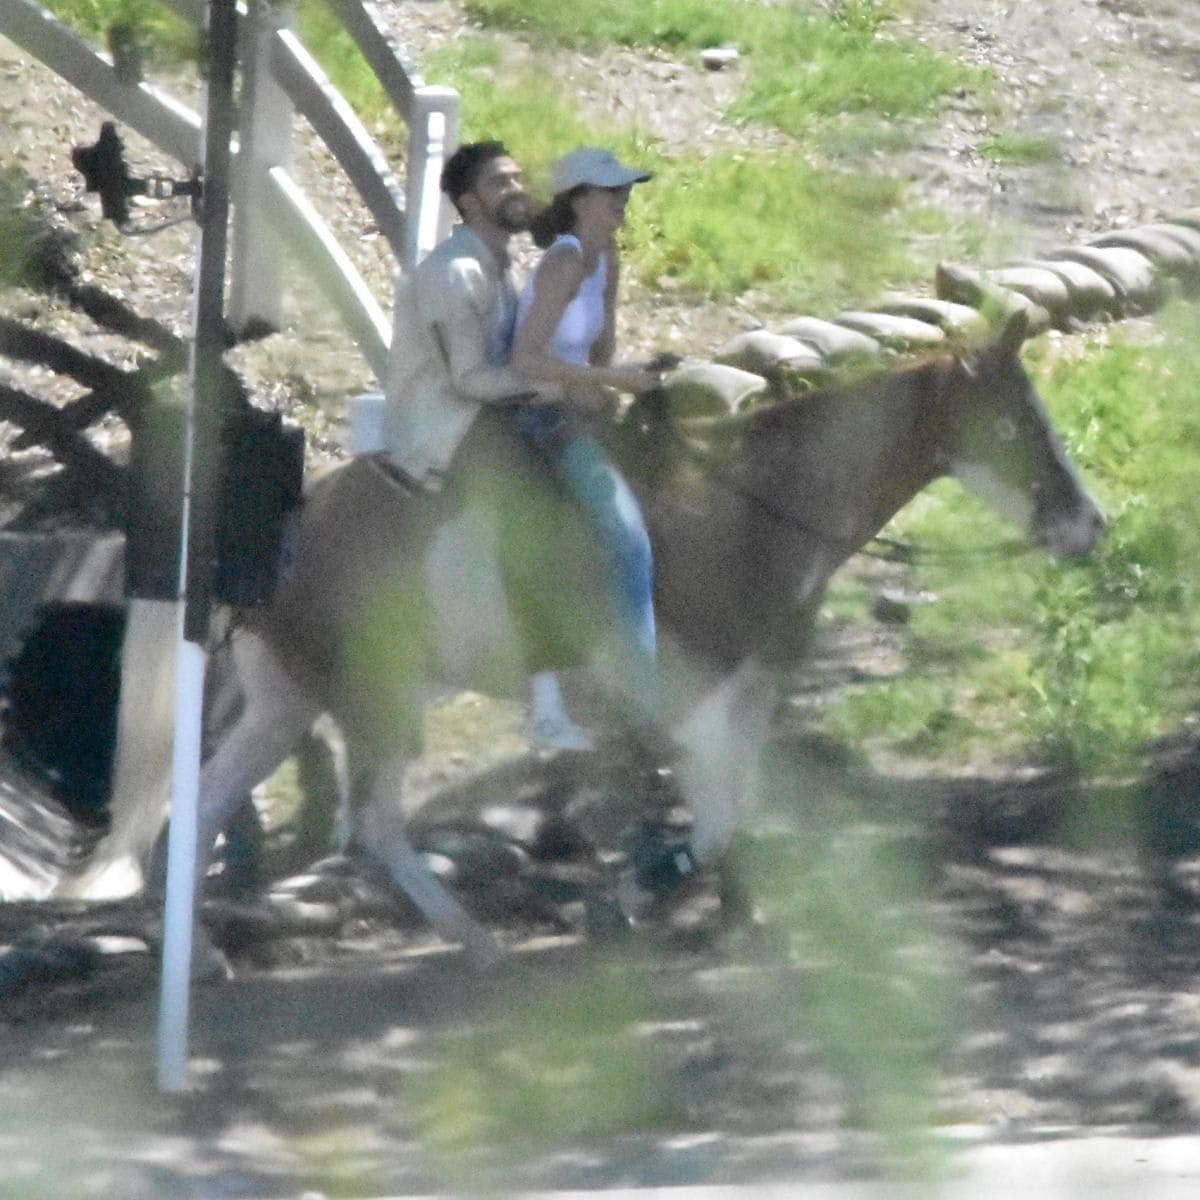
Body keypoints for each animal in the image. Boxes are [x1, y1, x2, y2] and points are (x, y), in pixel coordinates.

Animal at [60, 312, 1099, 964]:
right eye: (1019, 423)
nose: (1089, 525)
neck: (745, 510)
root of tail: (267, 531)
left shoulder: (749, 692)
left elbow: (737, 815)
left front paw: (733, 914)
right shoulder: (690, 703)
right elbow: (709, 820)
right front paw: (623, 901)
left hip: (285, 703)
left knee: (199, 811)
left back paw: (210, 957)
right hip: (374, 707)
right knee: (373, 826)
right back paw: (472, 939)